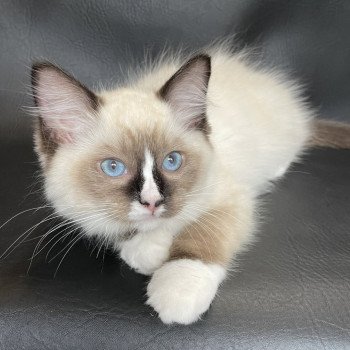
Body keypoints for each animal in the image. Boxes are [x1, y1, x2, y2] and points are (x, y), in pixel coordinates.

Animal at [31, 47, 348, 326]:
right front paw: (148, 251)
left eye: (172, 161)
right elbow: (126, 232)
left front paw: (177, 292)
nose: (152, 202)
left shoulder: (229, 198)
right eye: (113, 168)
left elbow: (199, 236)